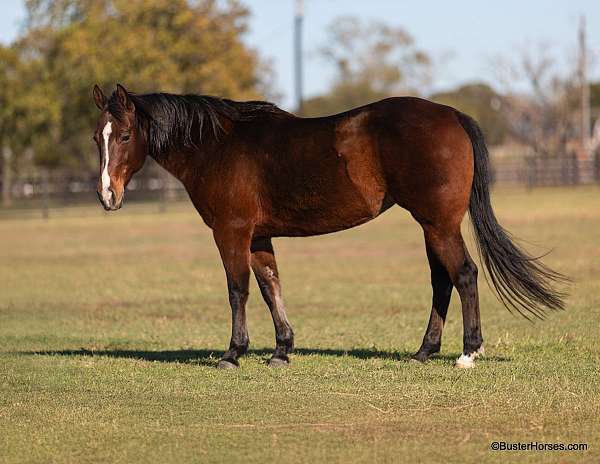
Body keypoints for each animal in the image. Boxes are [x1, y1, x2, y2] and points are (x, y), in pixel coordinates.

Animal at [91, 84, 564, 370]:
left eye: (126, 136)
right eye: (99, 137)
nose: (106, 195)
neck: (218, 146)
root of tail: (451, 115)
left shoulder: (231, 231)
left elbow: (238, 290)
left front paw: (233, 353)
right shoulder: (259, 235)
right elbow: (271, 286)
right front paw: (282, 350)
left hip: (439, 223)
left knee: (463, 274)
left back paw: (468, 351)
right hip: (431, 225)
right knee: (441, 281)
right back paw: (424, 351)